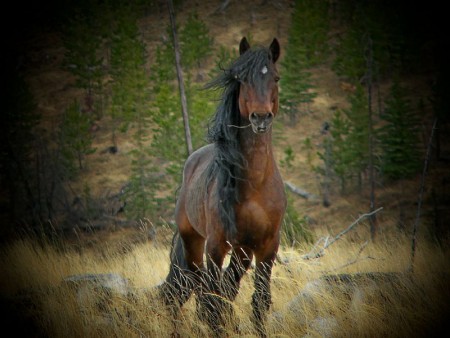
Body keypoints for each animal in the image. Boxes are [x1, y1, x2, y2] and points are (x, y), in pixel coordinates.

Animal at [160, 37, 286, 338]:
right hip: (194, 244)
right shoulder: (216, 245)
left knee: (225, 288)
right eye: (242, 78)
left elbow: (260, 299)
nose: (261, 117)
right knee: (199, 289)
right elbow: (212, 300)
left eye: (275, 77)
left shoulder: (268, 245)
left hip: (242, 251)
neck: (255, 184)